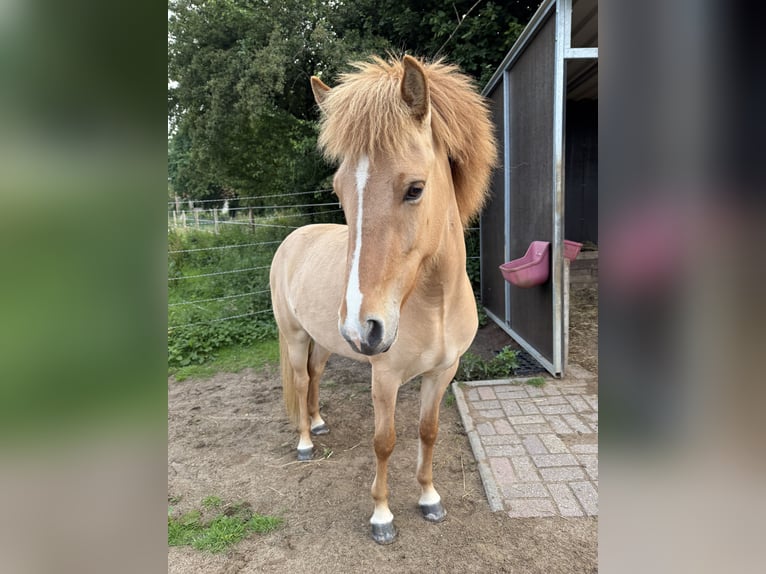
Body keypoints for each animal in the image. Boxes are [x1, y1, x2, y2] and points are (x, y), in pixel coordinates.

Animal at [269, 55, 496, 544]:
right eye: (338, 190)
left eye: (415, 188)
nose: (363, 328)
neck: (433, 305)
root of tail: (293, 238)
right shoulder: (385, 378)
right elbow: (385, 441)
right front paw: (382, 516)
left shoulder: (442, 372)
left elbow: (428, 432)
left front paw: (429, 499)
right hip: (295, 337)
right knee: (299, 379)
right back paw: (305, 442)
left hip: (324, 342)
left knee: (315, 376)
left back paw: (318, 422)